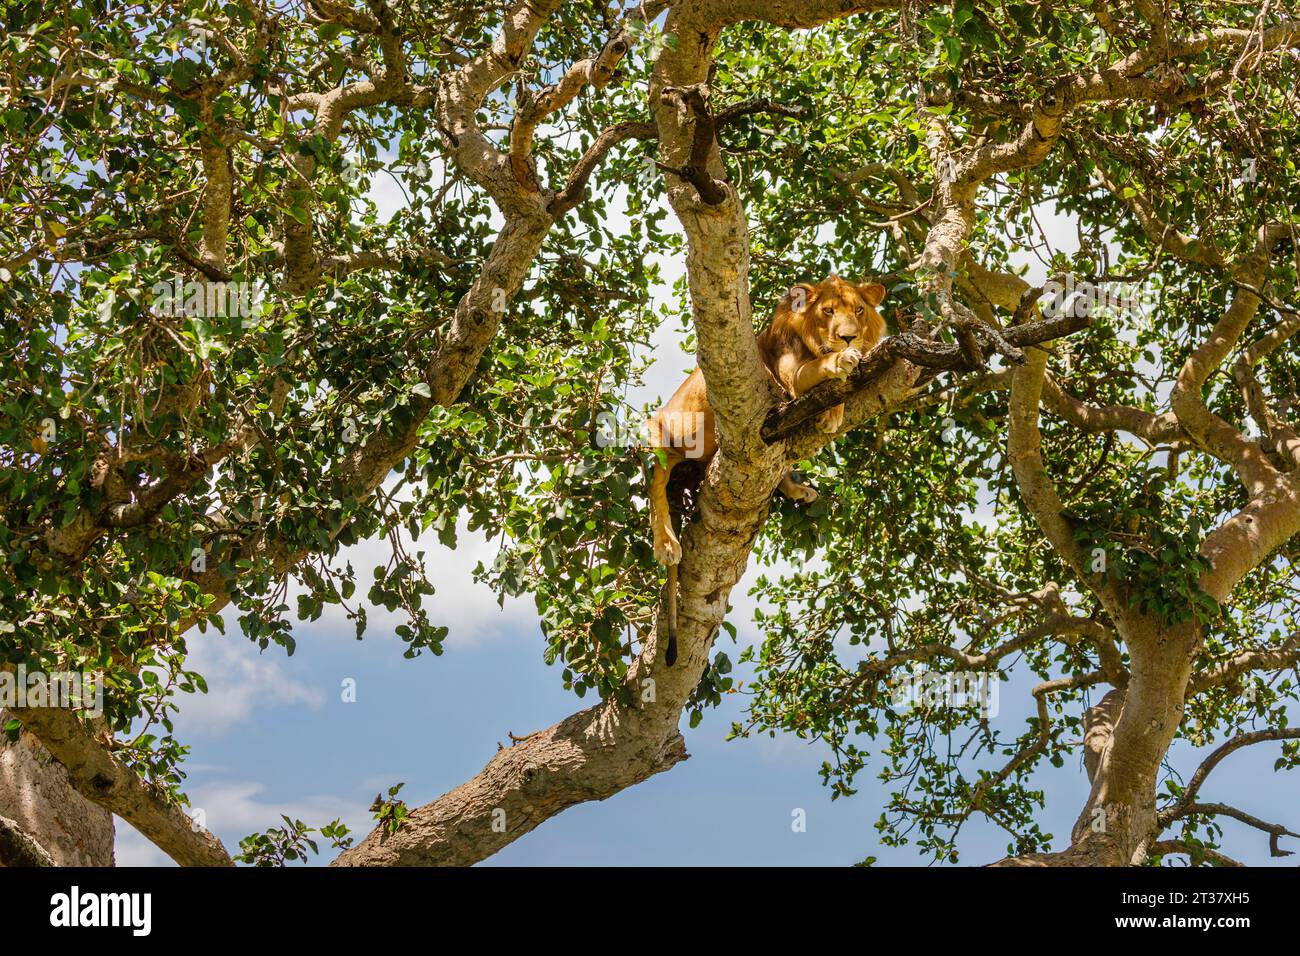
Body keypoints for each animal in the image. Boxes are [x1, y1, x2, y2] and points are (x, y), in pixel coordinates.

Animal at [647, 273, 889, 665]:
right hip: (660, 438)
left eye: (859, 310)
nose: (849, 337)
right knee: (655, 488)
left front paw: (833, 412)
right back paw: (667, 543)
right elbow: (820, 368)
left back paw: (798, 490)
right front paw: (841, 360)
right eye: (827, 311)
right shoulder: (789, 374)